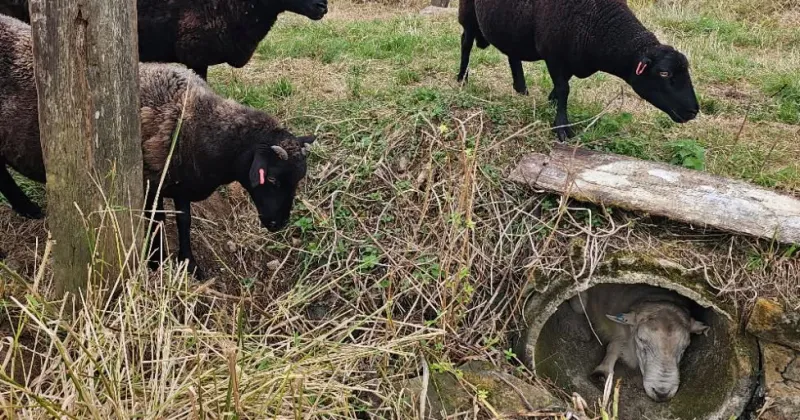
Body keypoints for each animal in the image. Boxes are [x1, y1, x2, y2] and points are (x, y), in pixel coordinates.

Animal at [0, 15, 316, 279]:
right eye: (271, 179)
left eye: (296, 181)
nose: (278, 224)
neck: (197, 124)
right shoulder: (150, 183)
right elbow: (157, 221)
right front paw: (155, 262)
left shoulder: (181, 181)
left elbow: (185, 221)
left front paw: (190, 264)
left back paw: (27, 209)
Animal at [457, 0, 700, 142]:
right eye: (664, 73)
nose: (693, 112)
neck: (599, 25)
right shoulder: (554, 54)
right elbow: (564, 88)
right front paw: (562, 127)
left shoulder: (574, 60)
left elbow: (562, 86)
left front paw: (552, 102)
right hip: (468, 14)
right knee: (466, 42)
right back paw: (462, 79)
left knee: (512, 53)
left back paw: (521, 88)